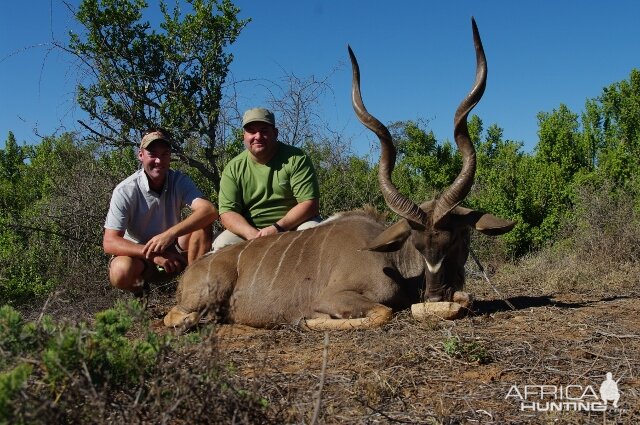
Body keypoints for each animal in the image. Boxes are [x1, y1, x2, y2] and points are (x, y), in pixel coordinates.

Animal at [164, 19, 516, 332]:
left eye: (453, 238)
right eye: (416, 244)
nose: (433, 295)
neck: (395, 262)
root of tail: (190, 273)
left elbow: (464, 300)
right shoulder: (335, 297)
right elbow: (382, 312)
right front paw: (307, 321)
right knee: (173, 316)